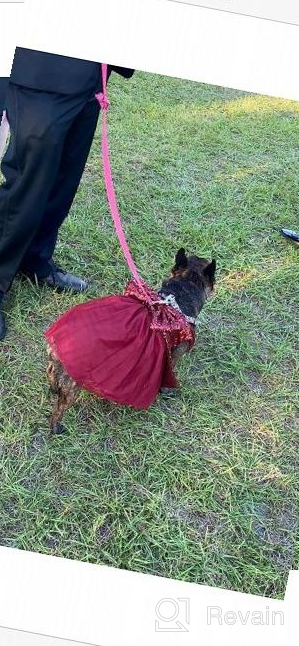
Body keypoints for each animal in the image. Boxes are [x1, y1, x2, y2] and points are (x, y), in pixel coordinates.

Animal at [45, 248, 217, 436]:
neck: (181, 290)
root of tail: (55, 346)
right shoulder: (175, 353)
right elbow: (170, 371)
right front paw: (167, 389)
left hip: (58, 371)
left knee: (51, 374)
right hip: (73, 386)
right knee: (59, 409)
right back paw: (56, 427)